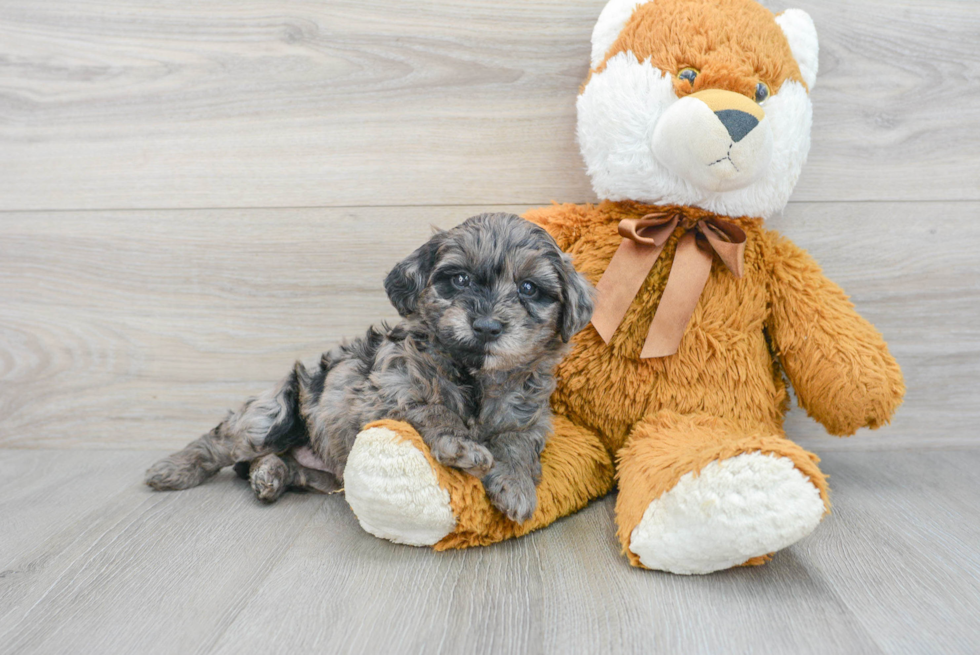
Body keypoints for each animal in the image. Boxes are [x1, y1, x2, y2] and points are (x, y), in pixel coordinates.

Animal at [144, 213, 588, 524]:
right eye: (460, 279)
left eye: (529, 288)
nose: (486, 327)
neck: (474, 376)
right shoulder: (388, 389)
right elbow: (432, 409)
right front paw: (459, 444)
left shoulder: (528, 418)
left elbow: (516, 443)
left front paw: (515, 485)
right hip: (272, 414)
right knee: (223, 441)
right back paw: (172, 469)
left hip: (326, 473)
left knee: (284, 464)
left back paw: (269, 475)